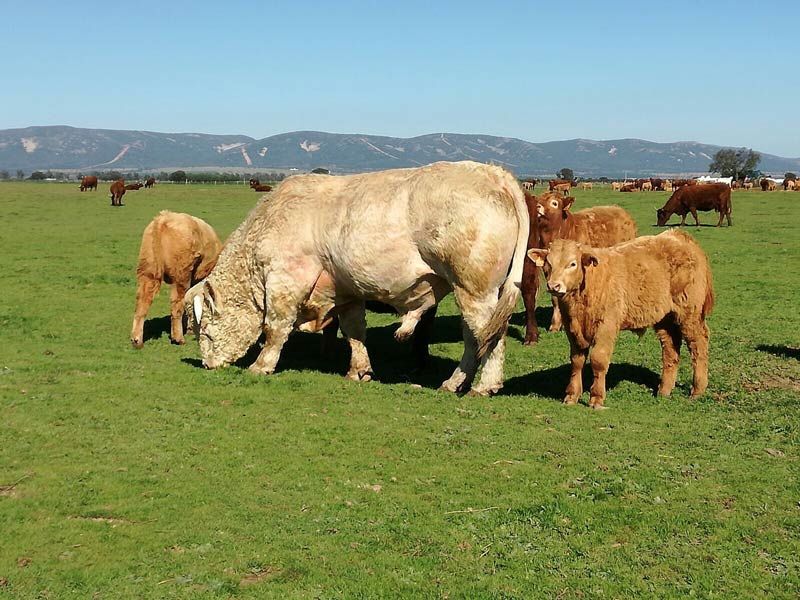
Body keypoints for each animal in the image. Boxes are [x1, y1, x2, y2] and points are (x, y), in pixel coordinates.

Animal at [131, 212, 223, 350]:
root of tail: (163, 219)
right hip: (181, 276)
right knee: (176, 306)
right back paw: (178, 338)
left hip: (148, 271)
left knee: (142, 304)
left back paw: (136, 340)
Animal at [184, 159, 528, 396]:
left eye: (206, 332)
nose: (208, 365)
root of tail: (493, 173)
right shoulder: (346, 290)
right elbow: (354, 332)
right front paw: (359, 371)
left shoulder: (286, 281)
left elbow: (275, 329)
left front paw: (261, 365)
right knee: (474, 338)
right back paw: (454, 382)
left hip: (475, 290)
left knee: (489, 336)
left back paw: (484, 386)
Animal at [528, 230, 716, 408]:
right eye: (548, 264)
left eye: (572, 264)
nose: (554, 286)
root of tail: (680, 236)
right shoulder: (572, 328)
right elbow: (577, 361)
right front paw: (571, 396)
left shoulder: (606, 326)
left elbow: (598, 360)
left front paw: (597, 399)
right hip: (665, 319)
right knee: (670, 349)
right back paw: (664, 390)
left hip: (690, 314)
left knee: (698, 345)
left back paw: (697, 390)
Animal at [532, 191, 636, 332]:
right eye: (538, 199)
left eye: (554, 203)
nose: (537, 206)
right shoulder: (549, 272)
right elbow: (555, 298)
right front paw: (555, 324)